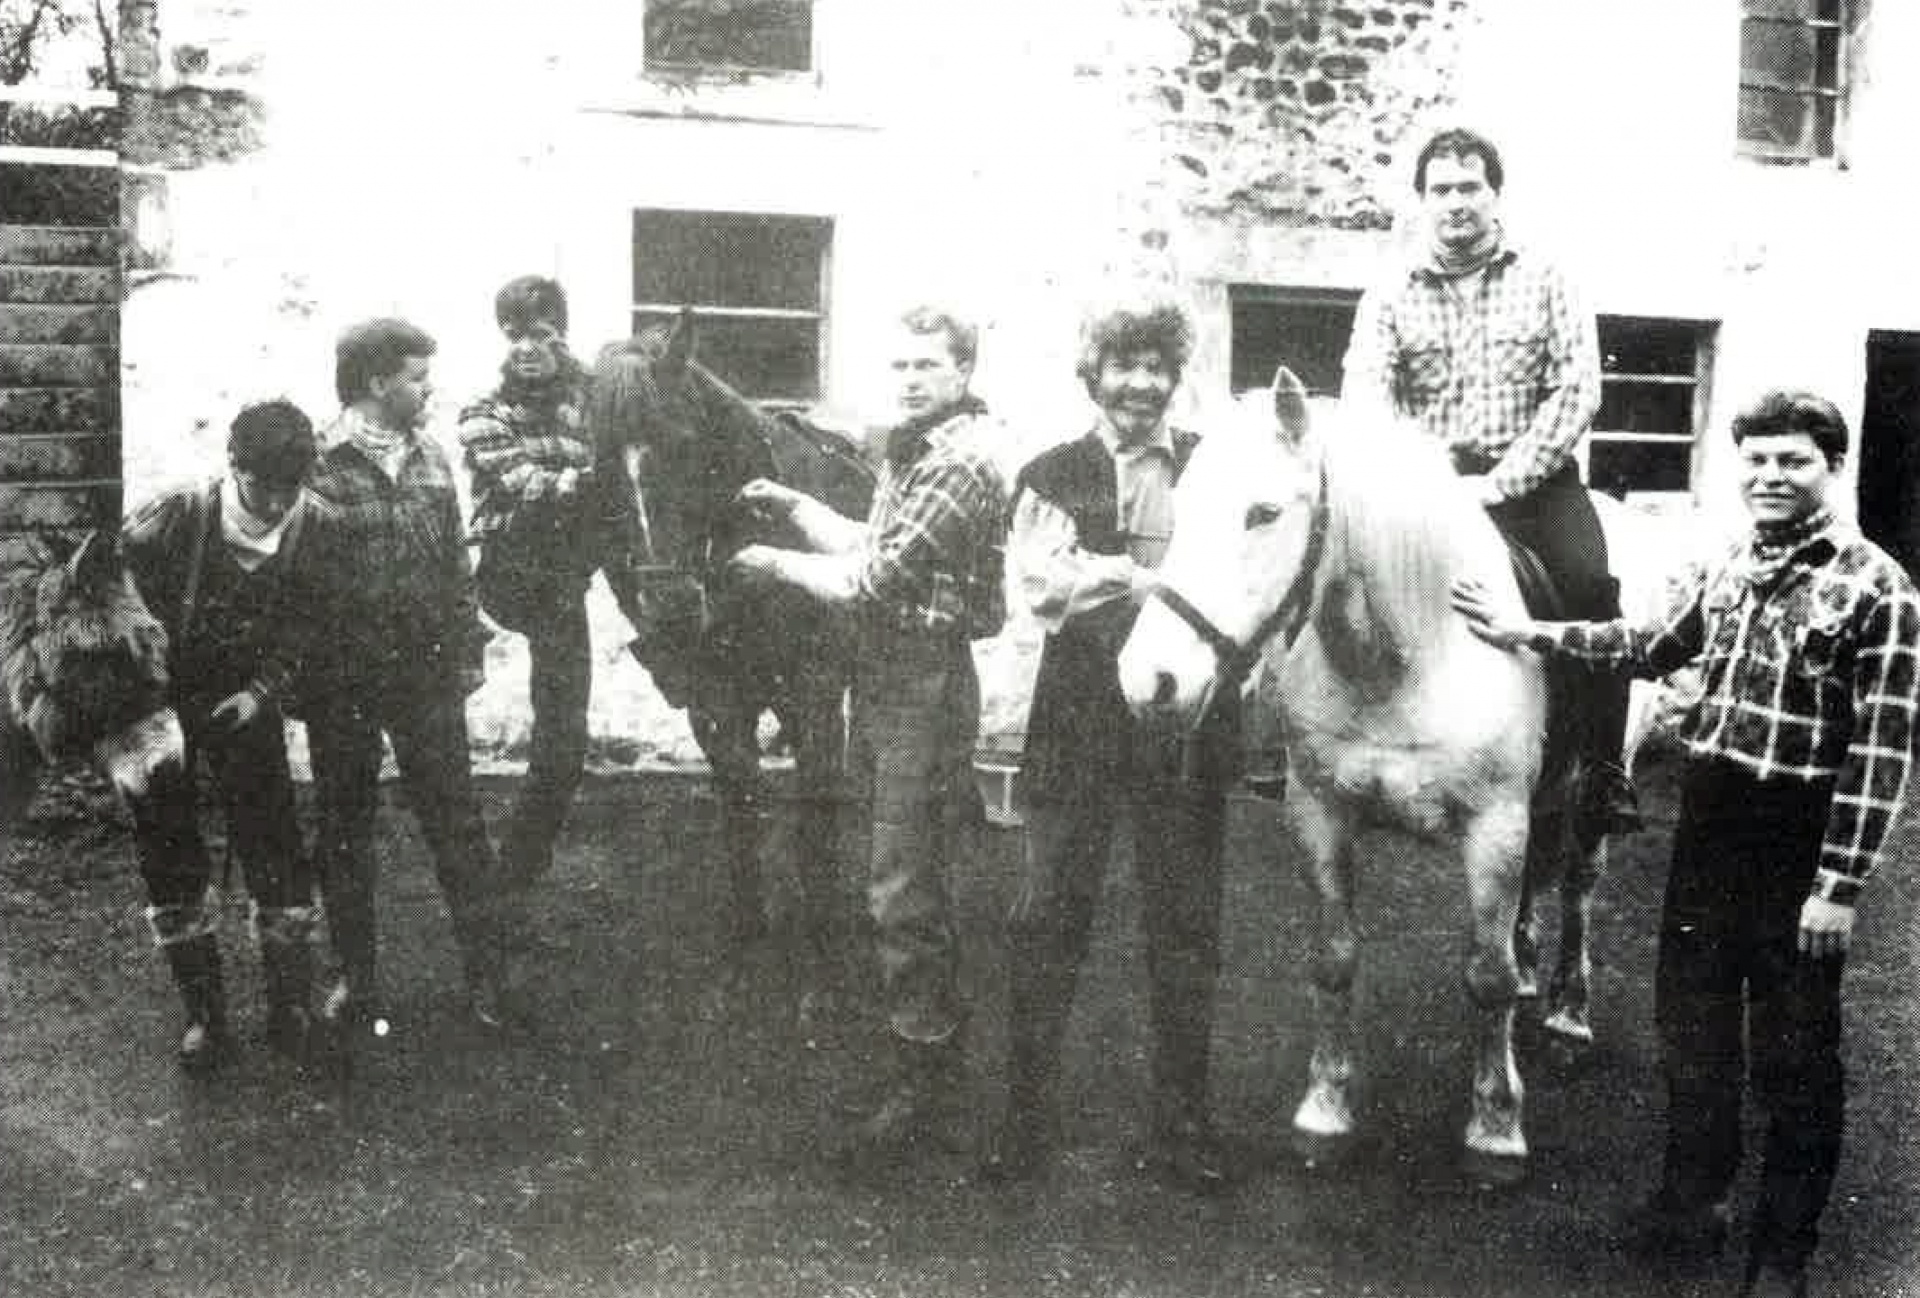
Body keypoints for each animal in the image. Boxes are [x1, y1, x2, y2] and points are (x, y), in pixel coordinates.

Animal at [588, 311, 876, 1007]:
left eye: (688, 443)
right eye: (601, 468)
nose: (670, 608)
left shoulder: (816, 688)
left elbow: (816, 812)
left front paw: (825, 952)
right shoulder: (715, 702)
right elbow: (742, 801)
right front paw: (749, 937)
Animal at [1116, 368, 1610, 1186]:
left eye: (1263, 513)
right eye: (1180, 505)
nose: (1148, 679)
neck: (1409, 655)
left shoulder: (1495, 827)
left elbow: (1486, 977)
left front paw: (1495, 1131)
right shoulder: (1320, 813)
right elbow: (1336, 960)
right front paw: (1325, 1112)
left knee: (1576, 889)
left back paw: (1570, 1013)